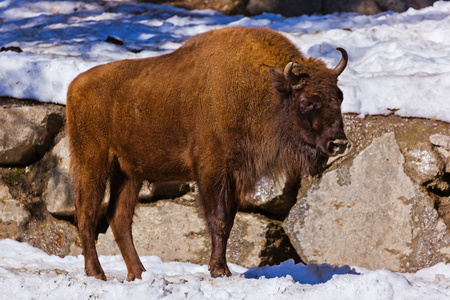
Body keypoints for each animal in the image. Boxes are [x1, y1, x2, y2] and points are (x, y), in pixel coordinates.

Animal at [66, 26, 348, 282]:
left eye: (340, 96)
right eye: (307, 101)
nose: (339, 143)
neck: (263, 89)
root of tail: (75, 85)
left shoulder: (234, 176)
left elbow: (229, 221)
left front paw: (221, 268)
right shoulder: (212, 170)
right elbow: (218, 219)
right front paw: (219, 270)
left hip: (128, 173)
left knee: (119, 218)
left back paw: (139, 273)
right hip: (93, 162)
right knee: (87, 213)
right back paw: (97, 273)